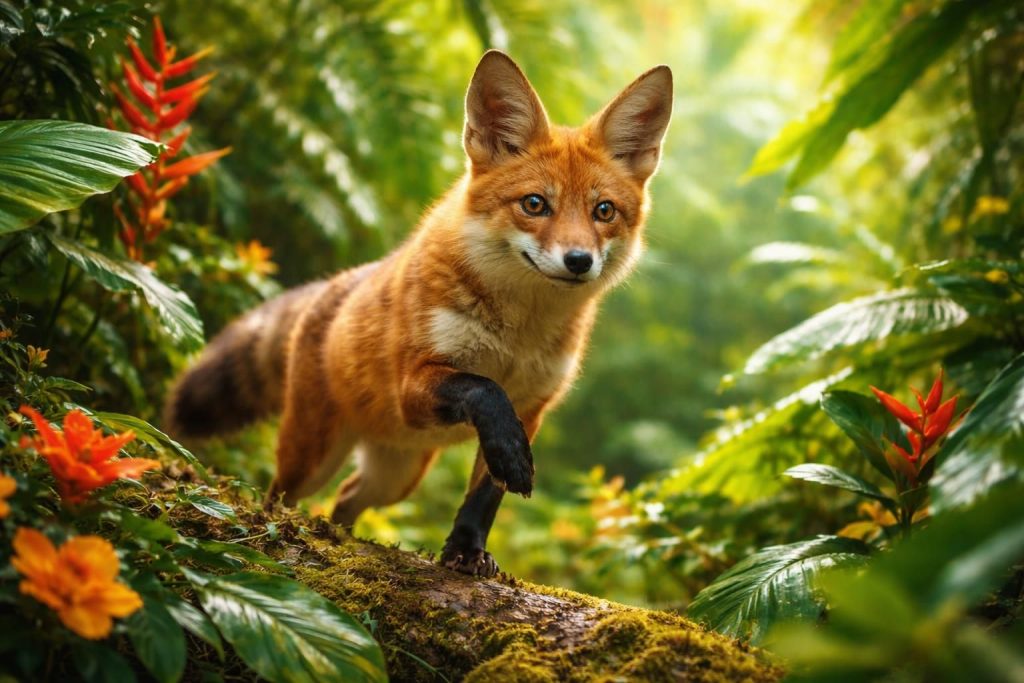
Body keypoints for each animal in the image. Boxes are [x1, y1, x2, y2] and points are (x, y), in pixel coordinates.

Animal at [165, 51, 672, 577]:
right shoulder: (417, 384)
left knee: (346, 498)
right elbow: (484, 390)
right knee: (279, 495)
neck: (514, 336)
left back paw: (342, 539)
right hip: (313, 454)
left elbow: (485, 496)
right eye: (535, 204)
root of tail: (335, 283)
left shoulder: (532, 407)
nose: (578, 261)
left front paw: (466, 551)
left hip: (397, 475)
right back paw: (283, 530)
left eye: (604, 211)